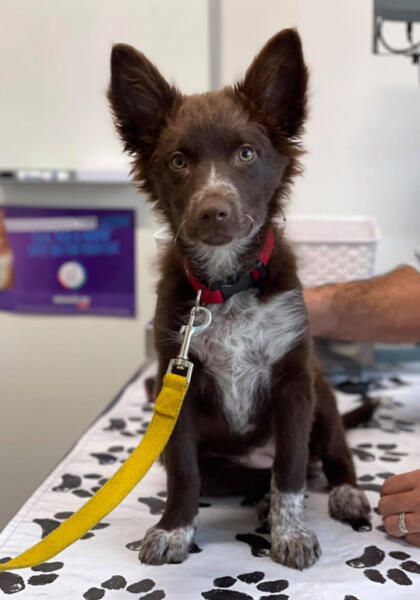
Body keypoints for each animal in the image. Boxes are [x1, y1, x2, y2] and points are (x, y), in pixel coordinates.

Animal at [108, 29, 370, 572]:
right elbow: (183, 472)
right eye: (178, 161)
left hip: (323, 394)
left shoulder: (294, 382)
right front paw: (173, 531)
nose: (213, 212)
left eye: (247, 154)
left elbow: (290, 466)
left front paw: (291, 534)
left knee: (328, 457)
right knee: (241, 478)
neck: (227, 283)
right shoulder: (176, 383)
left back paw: (344, 493)